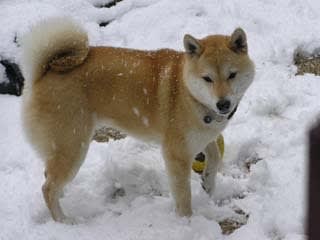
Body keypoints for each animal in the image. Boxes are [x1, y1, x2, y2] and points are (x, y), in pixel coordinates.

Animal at [20, 17, 255, 223]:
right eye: (207, 78)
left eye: (232, 74)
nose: (223, 104)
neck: (188, 93)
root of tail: (44, 72)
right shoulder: (176, 154)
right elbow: (183, 196)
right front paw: (187, 222)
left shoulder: (202, 137)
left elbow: (214, 156)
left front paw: (208, 183)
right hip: (73, 146)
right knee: (47, 188)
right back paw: (63, 220)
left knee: (49, 177)